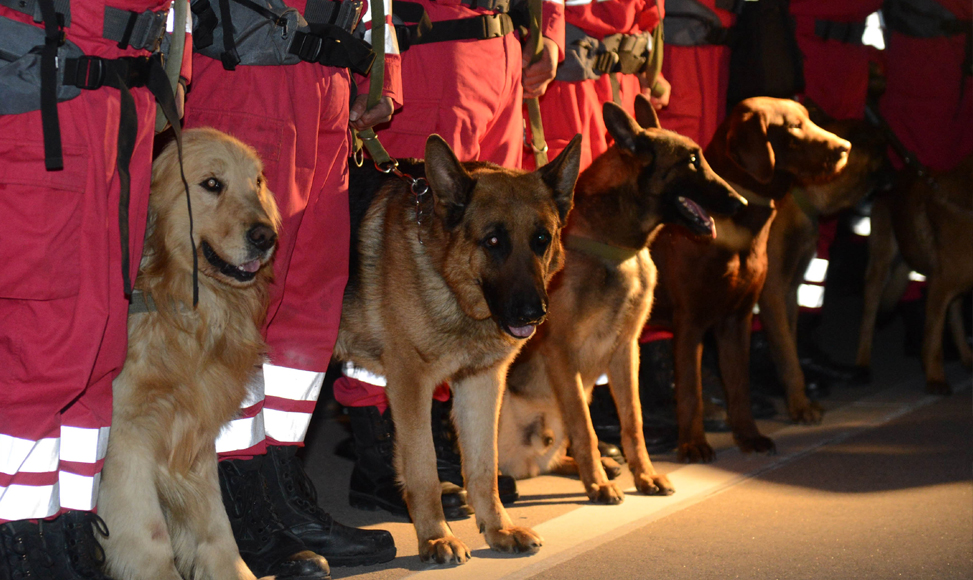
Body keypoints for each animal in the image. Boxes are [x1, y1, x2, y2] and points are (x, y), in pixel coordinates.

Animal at [502, 96, 744, 502]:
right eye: (692, 160)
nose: (741, 202)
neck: (615, 247)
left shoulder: (626, 351)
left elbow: (633, 422)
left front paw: (643, 475)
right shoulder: (561, 351)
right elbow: (586, 428)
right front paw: (597, 484)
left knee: (555, 455)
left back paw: (598, 464)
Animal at [648, 98, 848, 462]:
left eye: (809, 118)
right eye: (794, 126)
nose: (845, 147)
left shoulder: (735, 320)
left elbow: (740, 387)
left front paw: (749, 436)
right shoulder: (690, 324)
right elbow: (690, 392)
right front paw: (693, 444)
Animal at [760, 121, 888, 422]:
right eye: (883, 153)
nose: (900, 171)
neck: (800, 193)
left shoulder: (788, 292)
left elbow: (789, 349)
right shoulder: (772, 293)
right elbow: (787, 354)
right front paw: (799, 405)